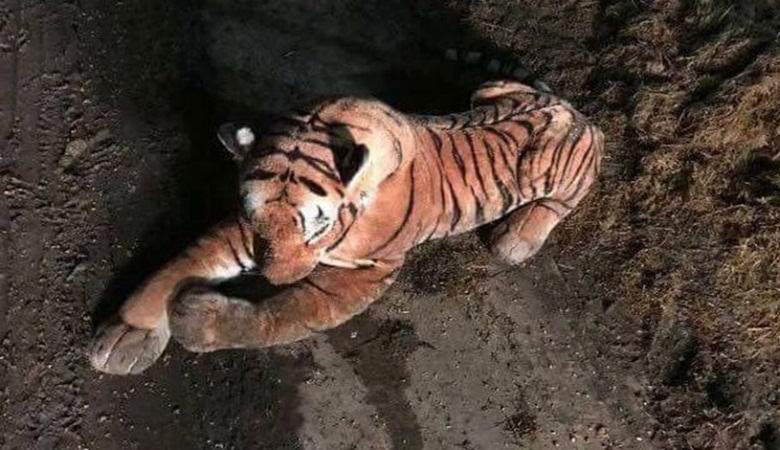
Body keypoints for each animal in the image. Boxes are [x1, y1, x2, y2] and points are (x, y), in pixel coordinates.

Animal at [88, 52, 604, 375]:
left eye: (315, 228)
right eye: (258, 222)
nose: (270, 276)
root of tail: (565, 103)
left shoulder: (362, 275)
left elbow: (282, 315)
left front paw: (199, 320)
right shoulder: (243, 228)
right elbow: (180, 264)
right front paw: (128, 333)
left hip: (554, 166)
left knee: (582, 170)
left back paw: (517, 237)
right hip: (488, 87)